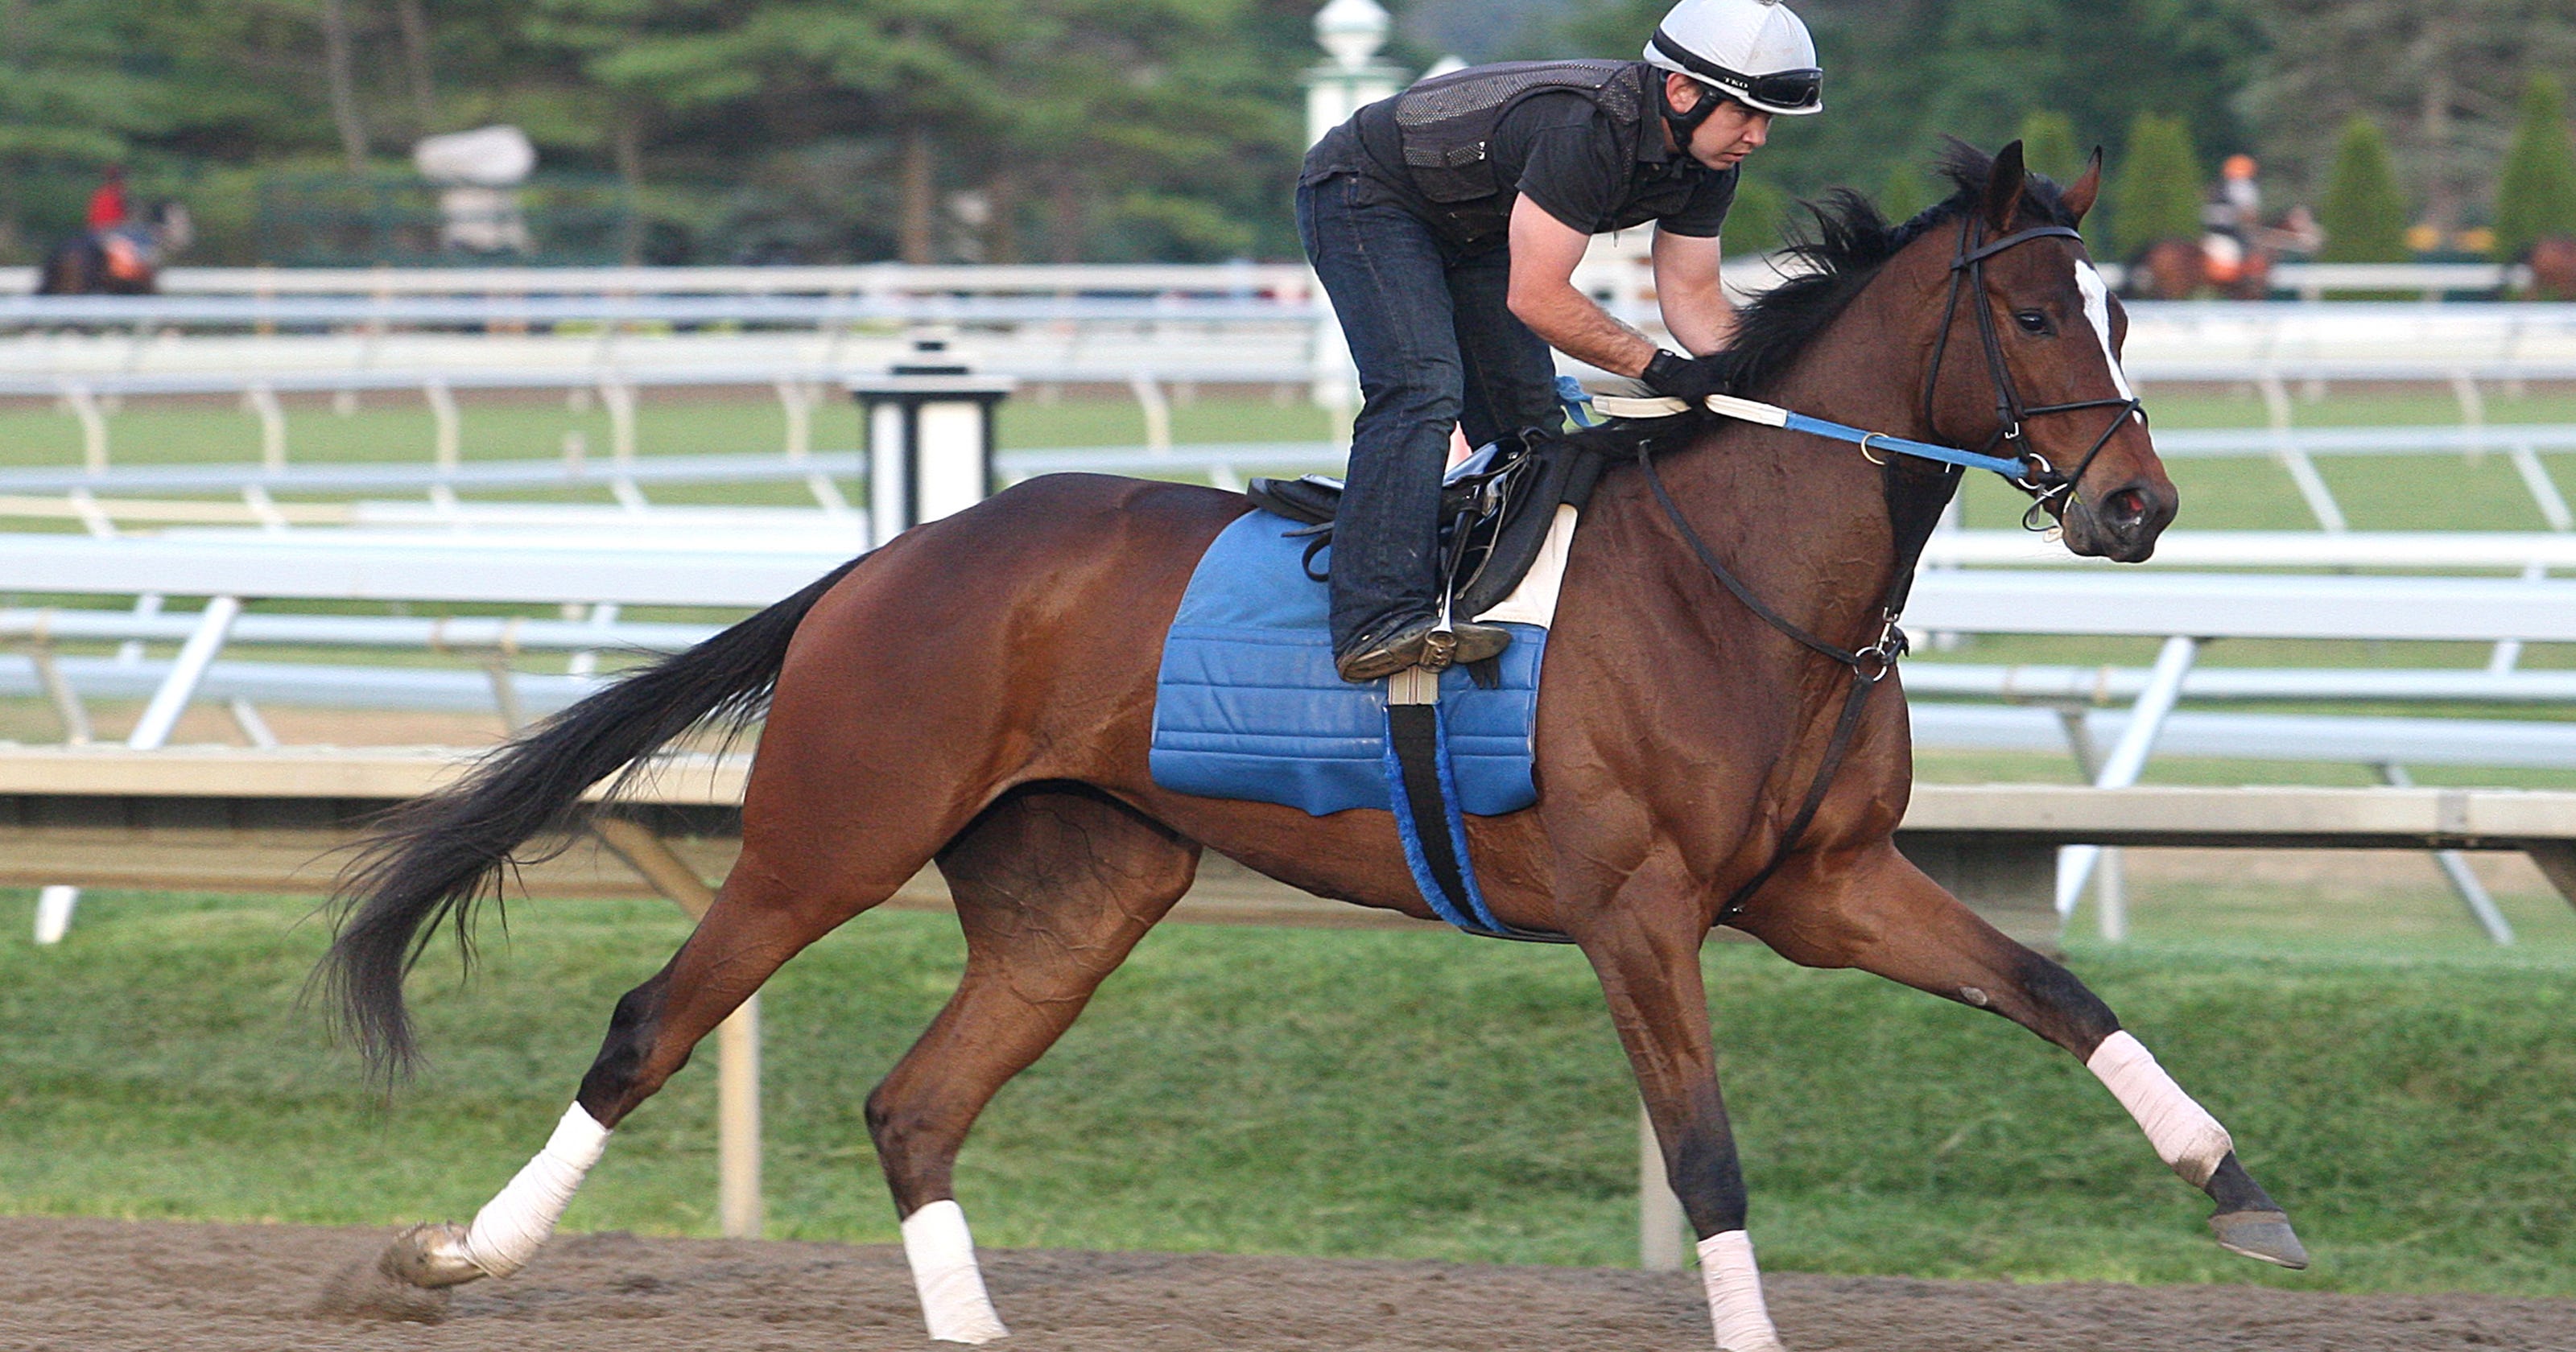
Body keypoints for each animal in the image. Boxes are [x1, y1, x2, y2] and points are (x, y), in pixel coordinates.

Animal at [332, 142, 2308, 1339]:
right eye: (2036, 311)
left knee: (915, 1104)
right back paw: (456, 1251)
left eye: (2127, 308)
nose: (2137, 505)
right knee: (652, 1027)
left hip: (1081, 890)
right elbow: (1707, 1152)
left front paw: (2241, 1193)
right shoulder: (1641, 912)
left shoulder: (1822, 885)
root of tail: (894, 556)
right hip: (836, 830)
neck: (1742, 574)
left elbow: (2060, 993)